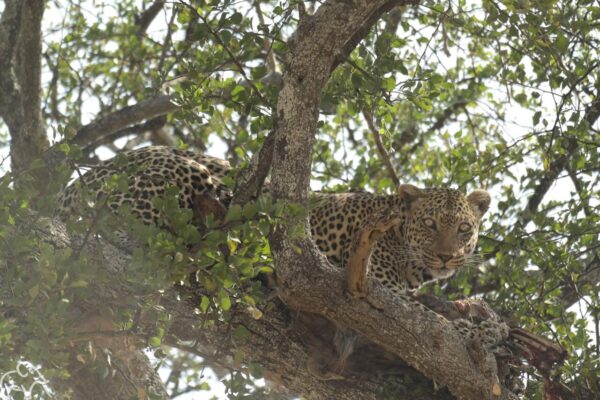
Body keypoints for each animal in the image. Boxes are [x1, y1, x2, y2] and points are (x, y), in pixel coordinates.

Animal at [54, 147, 508, 372]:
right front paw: (489, 332)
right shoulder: (377, 293)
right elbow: (438, 325)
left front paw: (486, 318)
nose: (447, 257)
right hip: (183, 175)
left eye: (463, 229)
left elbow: (442, 310)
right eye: (430, 224)